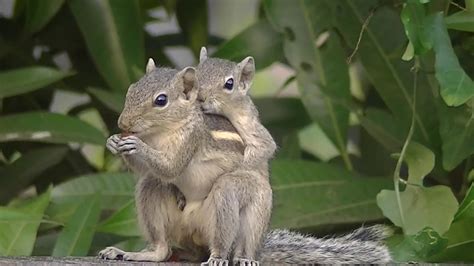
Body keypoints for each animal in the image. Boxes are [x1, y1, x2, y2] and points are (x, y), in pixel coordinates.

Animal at [97, 55, 392, 264]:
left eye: (161, 100)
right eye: (131, 89)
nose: (123, 124)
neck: (158, 135)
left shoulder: (192, 140)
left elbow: (171, 167)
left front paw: (136, 146)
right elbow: (151, 172)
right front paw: (113, 142)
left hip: (241, 208)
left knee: (232, 231)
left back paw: (229, 258)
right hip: (162, 211)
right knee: (161, 233)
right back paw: (139, 253)